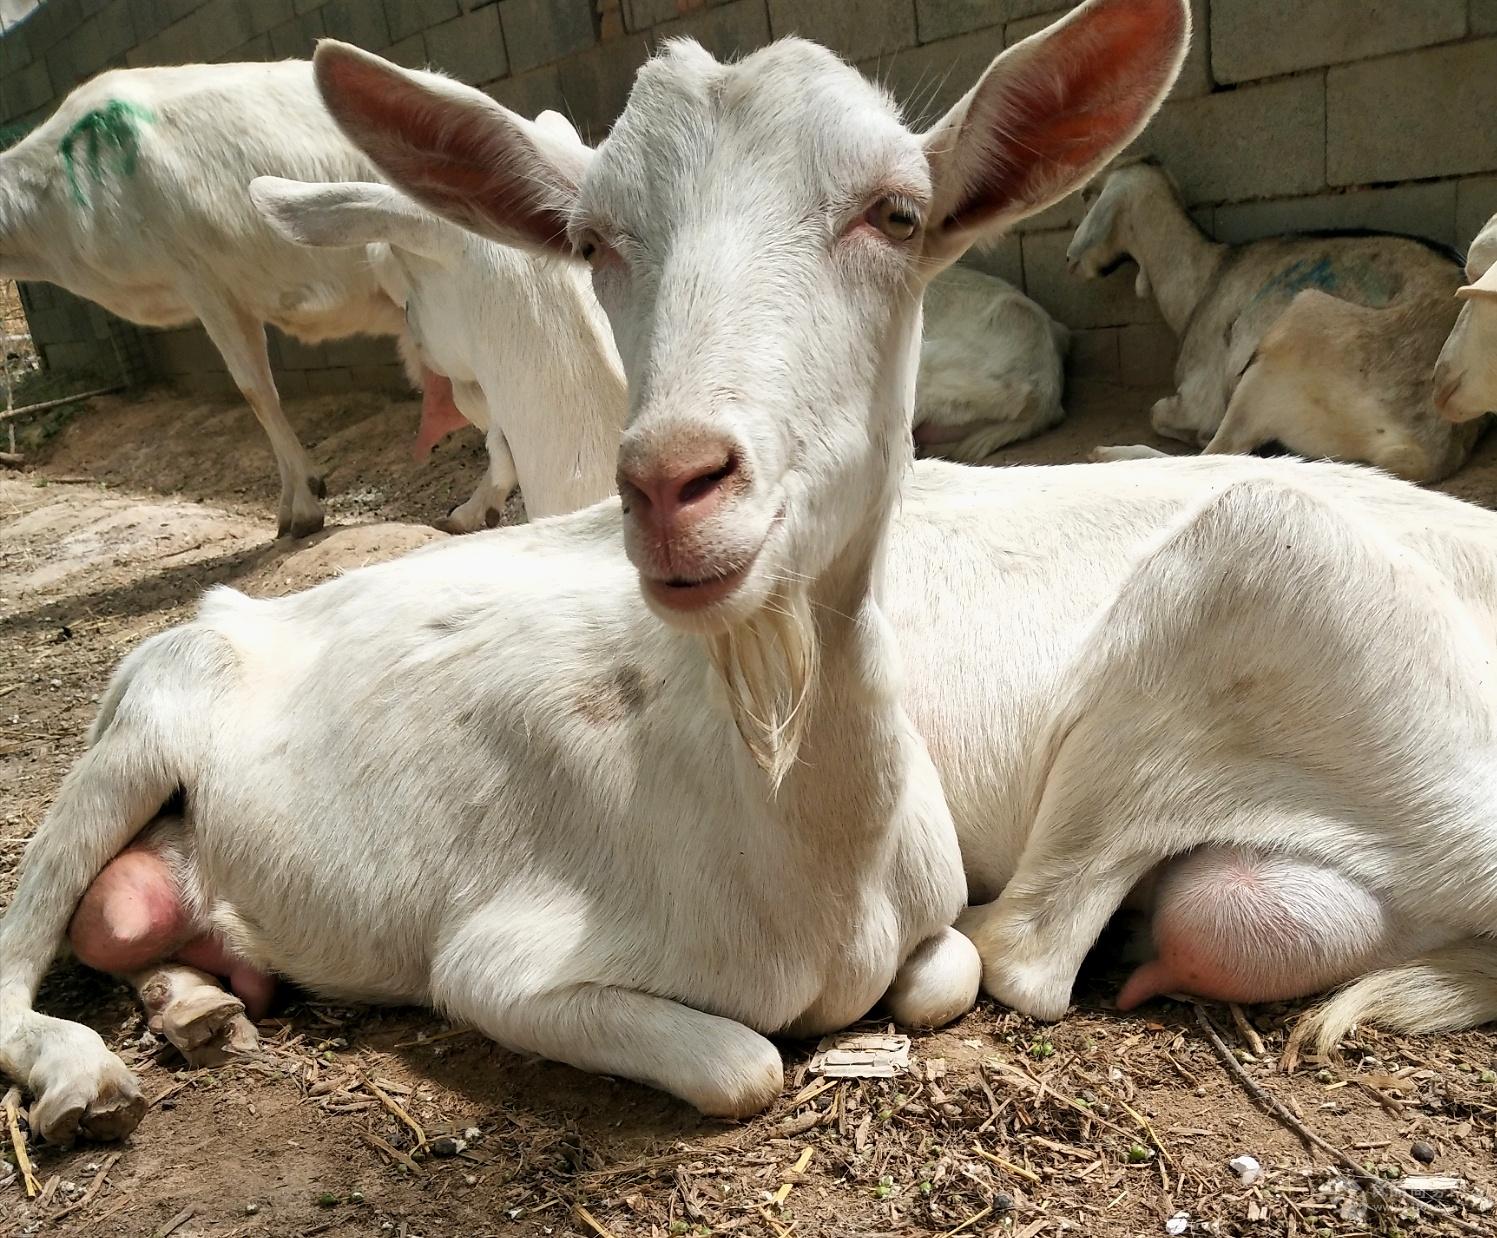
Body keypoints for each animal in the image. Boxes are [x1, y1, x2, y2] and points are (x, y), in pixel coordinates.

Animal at [1071, 156, 1479, 485]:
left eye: (1087, 194)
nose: (1070, 260)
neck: (1208, 276)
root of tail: (1426, 452)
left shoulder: (1201, 395)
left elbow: (1160, 412)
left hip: (1294, 329)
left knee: (1219, 452)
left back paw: (1110, 453)